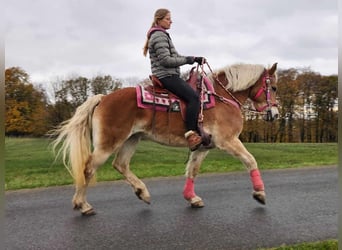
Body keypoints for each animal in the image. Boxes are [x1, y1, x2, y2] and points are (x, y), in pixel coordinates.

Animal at [52, 62, 280, 215]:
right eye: (274, 88)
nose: (276, 114)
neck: (222, 98)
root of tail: (103, 98)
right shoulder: (228, 141)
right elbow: (250, 161)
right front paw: (260, 194)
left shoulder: (203, 146)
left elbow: (193, 170)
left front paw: (192, 198)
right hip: (108, 143)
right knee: (89, 168)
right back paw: (83, 205)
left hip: (131, 139)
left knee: (120, 164)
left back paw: (142, 192)